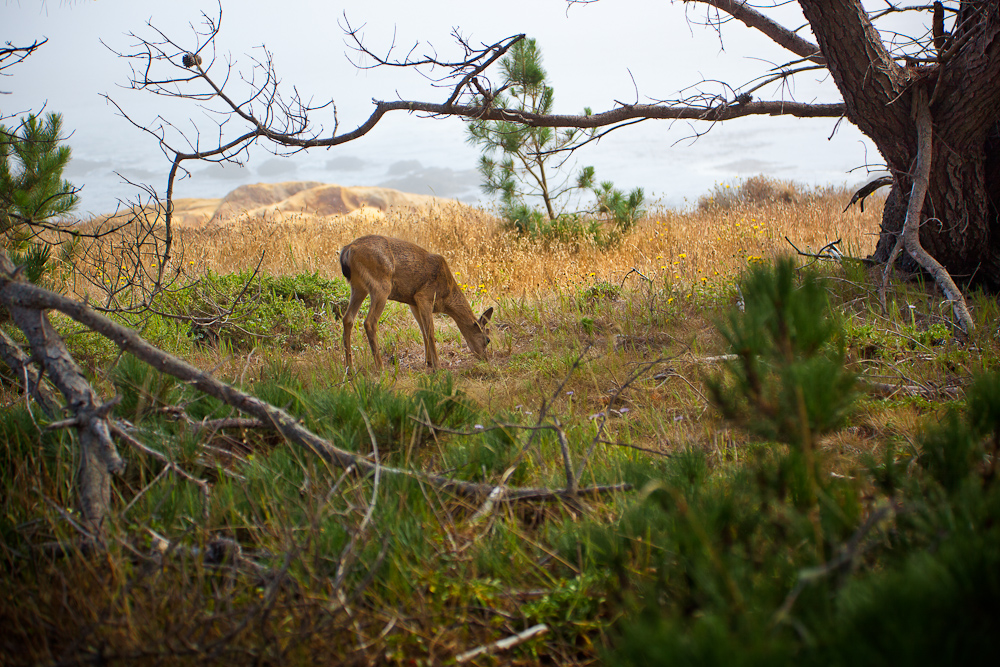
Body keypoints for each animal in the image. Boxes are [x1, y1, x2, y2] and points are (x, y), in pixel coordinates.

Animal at [338, 235, 494, 370]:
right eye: (487, 340)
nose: (485, 359)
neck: (447, 296)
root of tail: (348, 249)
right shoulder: (424, 296)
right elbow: (430, 331)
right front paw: (438, 366)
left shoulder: (413, 302)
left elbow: (423, 331)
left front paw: (428, 362)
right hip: (381, 286)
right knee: (369, 322)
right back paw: (380, 368)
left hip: (358, 287)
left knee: (347, 319)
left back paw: (349, 368)